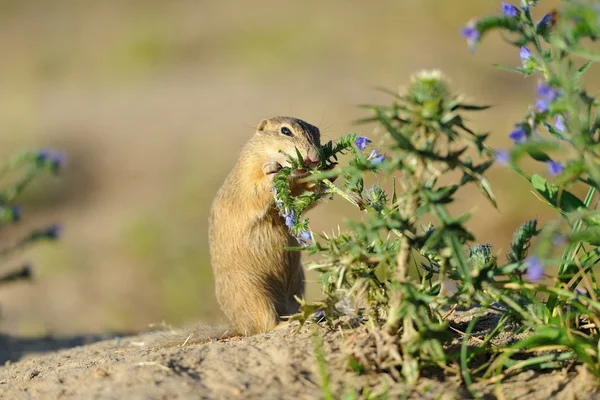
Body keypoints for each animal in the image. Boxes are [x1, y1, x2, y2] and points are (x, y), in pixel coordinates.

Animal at [138, 116, 328, 346]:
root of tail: (238, 327)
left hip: (297, 284)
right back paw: (289, 323)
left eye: (317, 132)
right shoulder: (247, 177)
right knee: (265, 326)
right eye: (285, 131)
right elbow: (256, 191)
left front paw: (323, 177)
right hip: (252, 290)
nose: (314, 158)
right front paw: (273, 170)